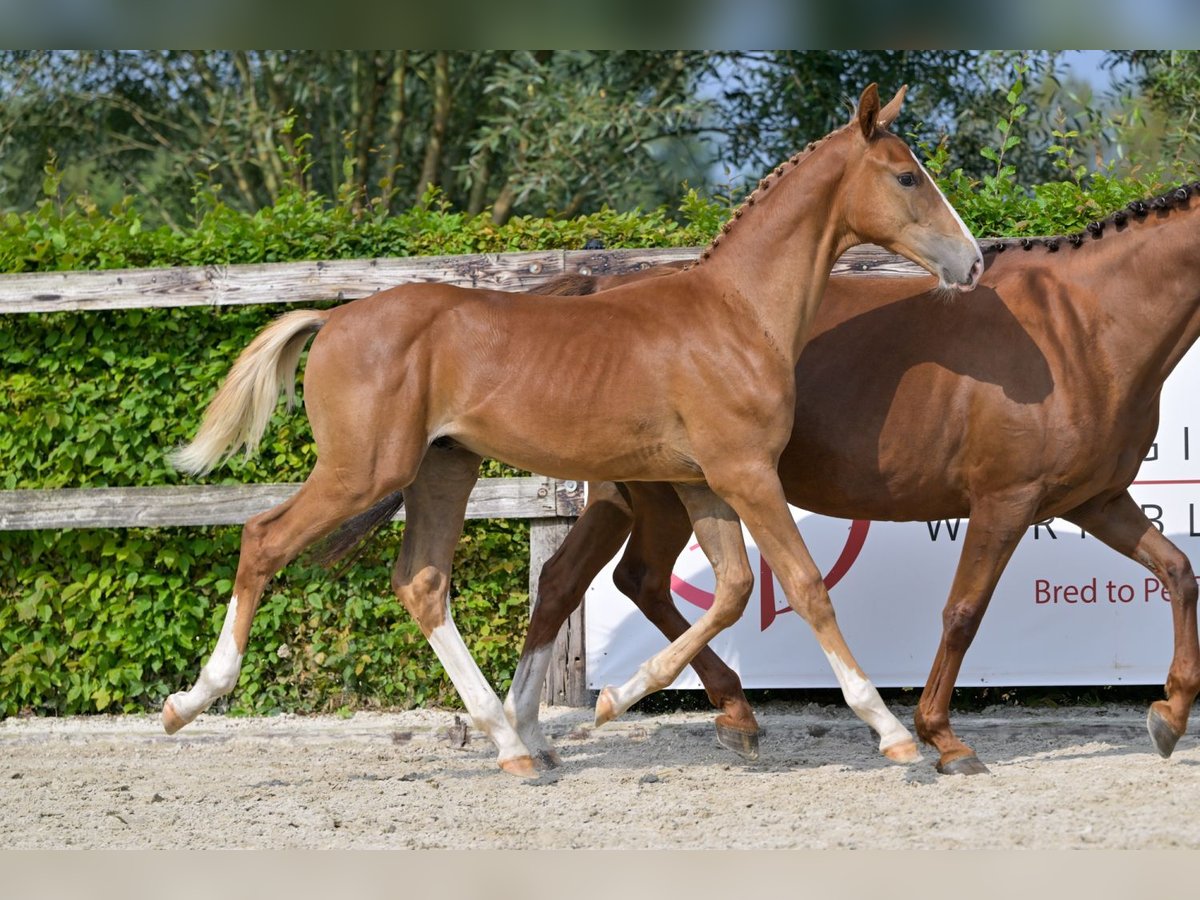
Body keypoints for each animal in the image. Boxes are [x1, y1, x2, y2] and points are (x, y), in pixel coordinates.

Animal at [164, 84, 979, 777]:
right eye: (906, 177)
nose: (970, 262)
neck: (737, 314)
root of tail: (332, 319)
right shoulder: (744, 472)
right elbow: (806, 587)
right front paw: (893, 733)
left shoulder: (702, 481)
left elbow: (736, 590)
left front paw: (624, 699)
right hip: (364, 470)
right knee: (264, 538)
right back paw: (189, 701)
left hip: (444, 467)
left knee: (422, 583)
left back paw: (512, 743)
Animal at [508, 183, 1200, 777]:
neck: (1084, 329)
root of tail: (600, 285)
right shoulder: (1006, 500)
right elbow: (963, 613)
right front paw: (942, 739)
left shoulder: (1096, 501)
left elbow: (1178, 572)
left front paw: (1169, 715)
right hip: (666, 495)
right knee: (638, 580)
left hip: (630, 493)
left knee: (580, 580)